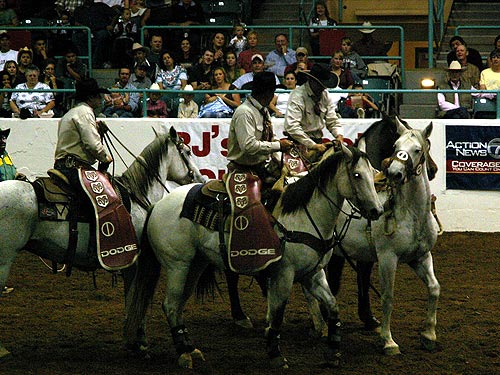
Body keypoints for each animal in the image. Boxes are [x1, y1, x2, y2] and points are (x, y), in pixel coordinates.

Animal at [0, 127, 205, 362]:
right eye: (187, 151)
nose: (200, 177)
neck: (136, 197)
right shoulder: (135, 263)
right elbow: (135, 301)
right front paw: (139, 342)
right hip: (3, 259)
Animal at [124, 143, 382, 370]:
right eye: (357, 175)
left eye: (372, 174)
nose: (376, 211)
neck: (304, 215)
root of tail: (157, 205)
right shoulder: (284, 274)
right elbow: (277, 314)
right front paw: (276, 354)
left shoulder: (313, 273)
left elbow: (333, 307)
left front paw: (333, 351)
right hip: (178, 266)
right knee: (170, 304)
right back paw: (183, 353)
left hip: (195, 265)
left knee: (177, 305)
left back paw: (190, 348)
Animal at [306, 119, 440, 356]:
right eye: (395, 146)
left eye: (418, 149)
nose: (395, 172)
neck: (411, 214)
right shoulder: (387, 259)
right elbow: (387, 297)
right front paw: (388, 341)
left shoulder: (421, 257)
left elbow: (434, 289)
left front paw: (429, 335)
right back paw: (318, 325)